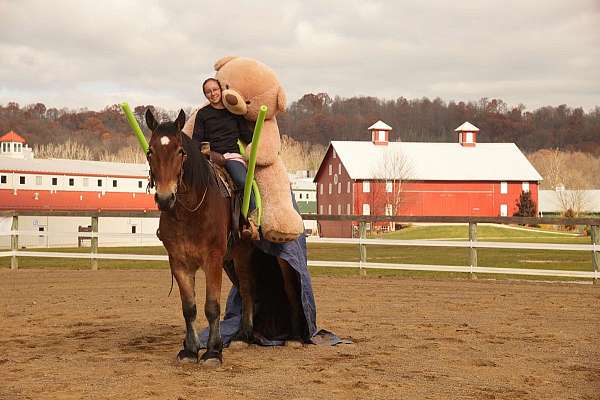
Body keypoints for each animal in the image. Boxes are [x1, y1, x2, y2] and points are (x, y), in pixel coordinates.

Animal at [145, 108, 302, 368]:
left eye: (180, 151)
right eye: (150, 152)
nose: (165, 197)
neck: (190, 211)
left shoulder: (213, 259)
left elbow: (211, 306)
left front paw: (212, 351)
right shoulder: (178, 261)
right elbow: (189, 308)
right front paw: (190, 350)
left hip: (278, 259)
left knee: (290, 288)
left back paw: (296, 338)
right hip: (240, 255)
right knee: (248, 290)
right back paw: (244, 336)